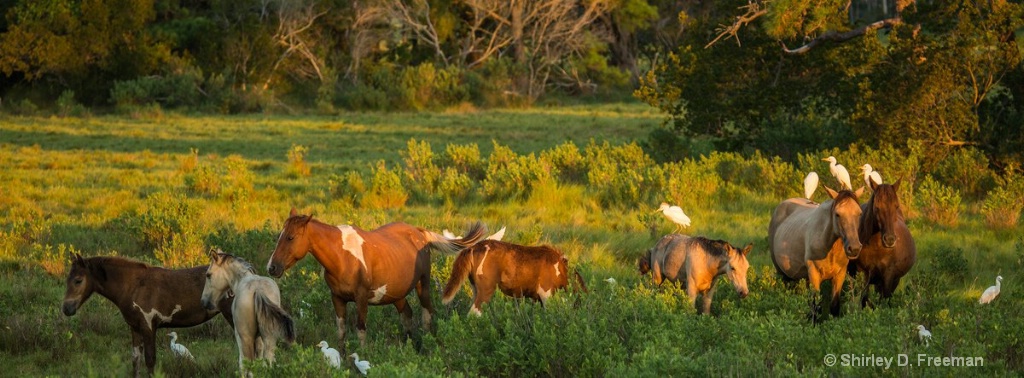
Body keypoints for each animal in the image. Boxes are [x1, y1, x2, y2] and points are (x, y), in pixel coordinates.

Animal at [61, 253, 234, 374]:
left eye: (78, 280)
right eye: (67, 279)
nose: (66, 309)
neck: (134, 286)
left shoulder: (149, 326)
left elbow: (150, 360)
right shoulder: (135, 327)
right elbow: (135, 360)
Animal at [266, 208, 485, 348]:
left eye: (291, 237)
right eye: (279, 236)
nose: (272, 267)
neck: (342, 256)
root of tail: (420, 233)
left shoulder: (362, 298)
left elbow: (361, 329)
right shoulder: (337, 298)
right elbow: (341, 331)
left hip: (423, 285)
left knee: (427, 314)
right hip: (397, 295)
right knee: (407, 315)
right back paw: (409, 345)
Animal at [442, 238, 593, 315]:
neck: (560, 268)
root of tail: (472, 248)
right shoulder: (546, 294)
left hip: (475, 289)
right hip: (486, 289)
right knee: (474, 312)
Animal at [770, 185, 864, 317]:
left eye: (859, 213)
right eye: (837, 214)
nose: (854, 248)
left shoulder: (839, 275)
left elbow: (834, 306)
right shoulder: (814, 274)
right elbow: (815, 307)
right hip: (782, 272)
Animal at [847, 179, 921, 307]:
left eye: (896, 206)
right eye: (877, 207)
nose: (890, 239)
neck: (876, 247)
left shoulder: (888, 275)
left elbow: (884, 301)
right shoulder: (864, 273)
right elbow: (864, 300)